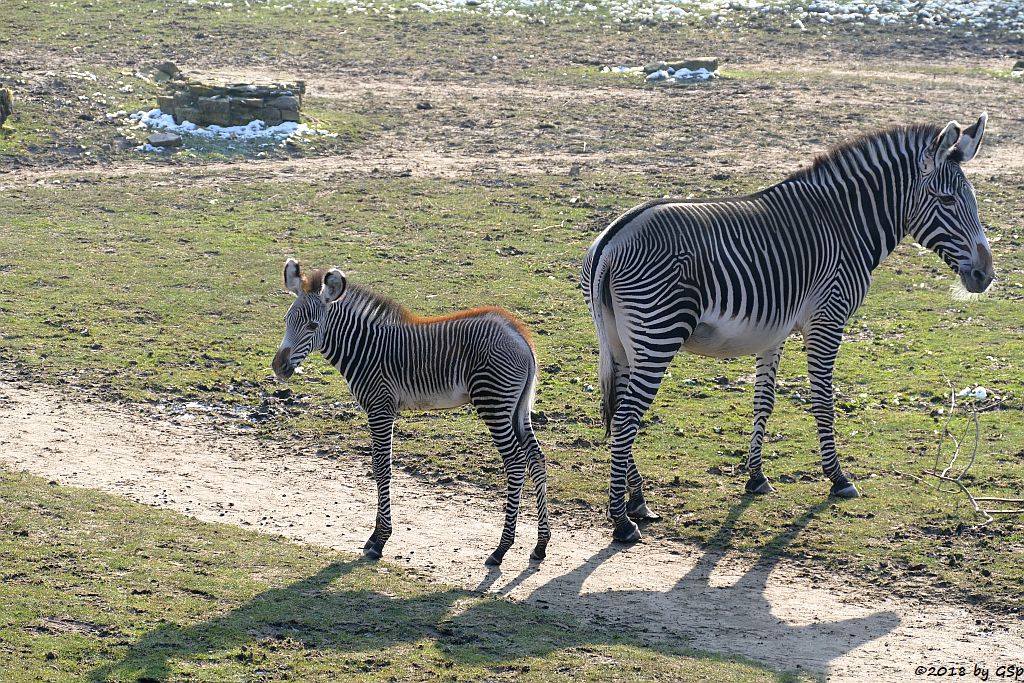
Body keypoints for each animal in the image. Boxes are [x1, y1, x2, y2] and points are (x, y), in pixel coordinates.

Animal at [268, 259, 548, 565]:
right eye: (286, 320)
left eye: (312, 325)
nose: (279, 367)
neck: (364, 348)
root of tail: (519, 335)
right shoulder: (383, 409)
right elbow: (378, 467)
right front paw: (375, 536)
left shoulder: (380, 407)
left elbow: (381, 467)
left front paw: (379, 540)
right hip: (516, 408)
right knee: (536, 458)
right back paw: (540, 545)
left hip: (493, 402)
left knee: (516, 462)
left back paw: (501, 549)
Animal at [585, 117, 991, 544]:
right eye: (947, 201)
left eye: (972, 202)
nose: (986, 275)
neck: (844, 224)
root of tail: (611, 242)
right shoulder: (828, 318)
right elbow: (823, 400)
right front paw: (837, 478)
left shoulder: (773, 331)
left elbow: (764, 401)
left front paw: (756, 477)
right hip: (657, 335)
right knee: (626, 419)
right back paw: (622, 521)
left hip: (622, 342)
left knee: (618, 413)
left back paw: (638, 501)